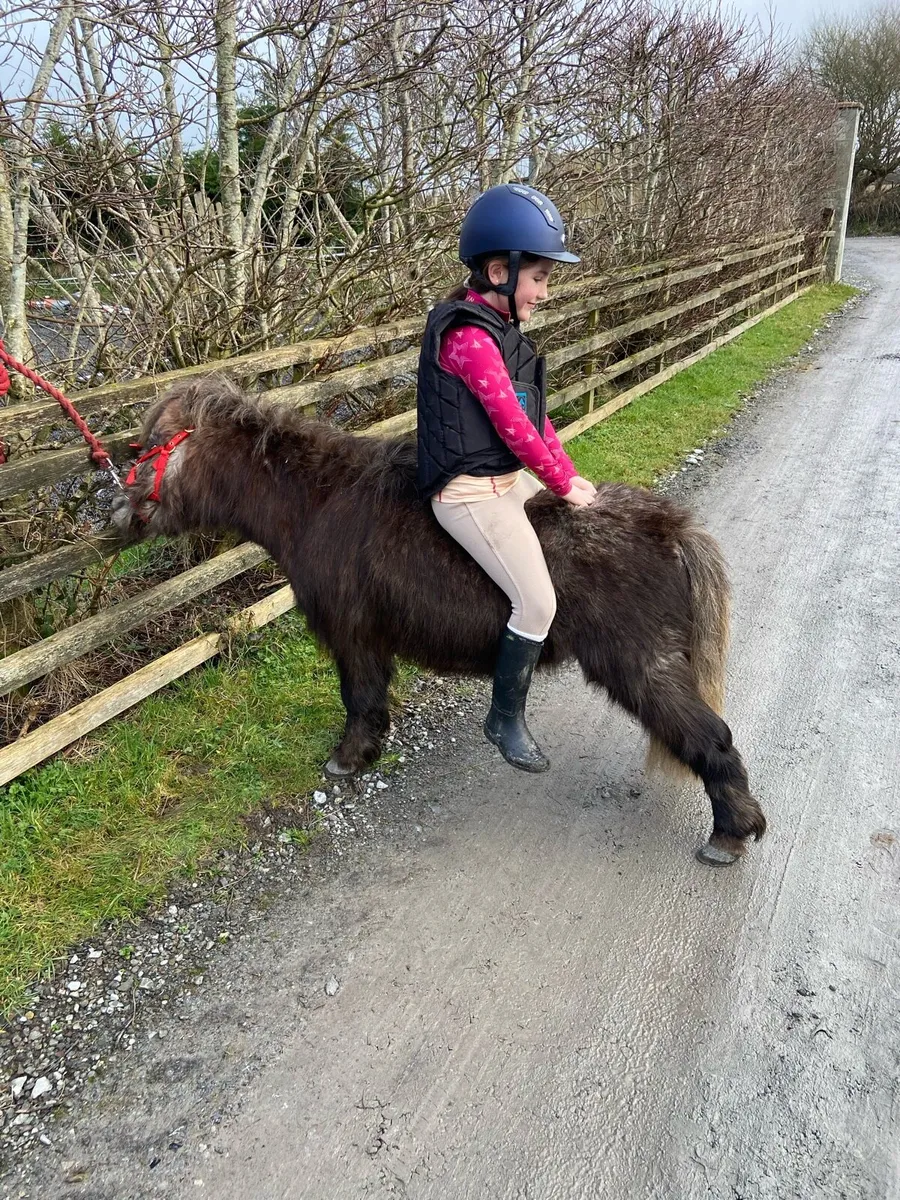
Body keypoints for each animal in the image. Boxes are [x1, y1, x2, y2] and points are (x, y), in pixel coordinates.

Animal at [113, 375, 766, 866]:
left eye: (155, 444)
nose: (117, 511)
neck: (320, 502)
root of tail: (671, 528)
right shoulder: (369, 639)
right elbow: (371, 699)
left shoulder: (354, 638)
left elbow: (360, 701)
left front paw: (349, 758)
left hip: (643, 665)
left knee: (713, 738)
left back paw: (730, 833)